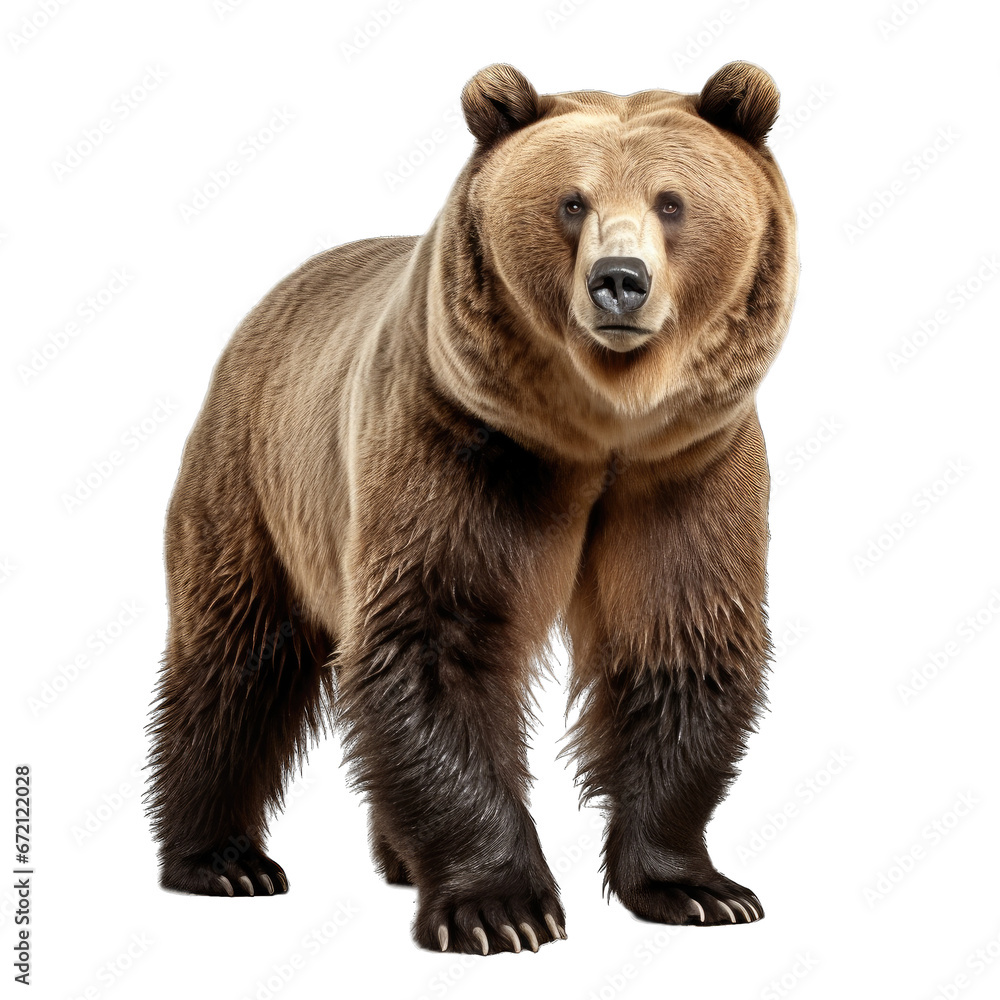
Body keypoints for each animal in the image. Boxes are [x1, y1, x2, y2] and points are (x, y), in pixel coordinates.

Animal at [146, 60, 798, 955]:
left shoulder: (685, 470)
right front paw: (501, 908)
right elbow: (437, 638)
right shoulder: (460, 444)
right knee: (235, 655)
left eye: (672, 202)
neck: (599, 429)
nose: (619, 281)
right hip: (256, 481)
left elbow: (678, 638)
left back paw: (391, 857)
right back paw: (223, 860)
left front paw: (699, 889)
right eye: (571, 202)